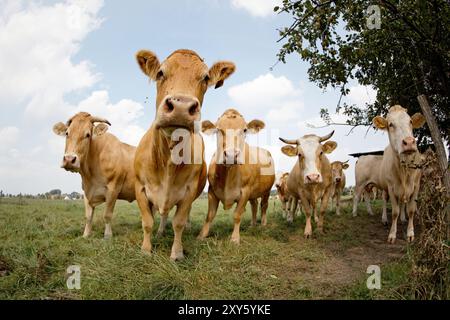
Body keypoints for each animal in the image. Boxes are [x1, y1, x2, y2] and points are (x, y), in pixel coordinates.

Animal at [134, 49, 236, 260]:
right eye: (160, 73)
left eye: (206, 78)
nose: (181, 107)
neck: (167, 161)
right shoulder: (140, 188)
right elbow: (147, 221)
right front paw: (146, 249)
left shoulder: (189, 191)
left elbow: (179, 222)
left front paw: (177, 253)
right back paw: (160, 231)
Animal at [199, 109, 276, 244]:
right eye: (218, 130)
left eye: (244, 130)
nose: (231, 155)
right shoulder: (211, 190)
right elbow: (210, 215)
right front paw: (202, 235)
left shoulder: (245, 191)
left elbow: (237, 215)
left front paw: (235, 238)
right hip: (253, 193)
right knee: (254, 205)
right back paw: (252, 224)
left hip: (266, 190)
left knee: (264, 205)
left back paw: (263, 224)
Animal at [354, 105, 424, 242]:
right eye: (391, 124)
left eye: (410, 121)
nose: (409, 142)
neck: (405, 170)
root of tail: (362, 157)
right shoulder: (392, 187)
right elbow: (395, 211)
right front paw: (392, 235)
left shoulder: (416, 186)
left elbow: (411, 210)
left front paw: (410, 232)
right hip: (360, 183)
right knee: (357, 197)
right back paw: (355, 214)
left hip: (369, 185)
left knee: (368, 197)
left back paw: (372, 213)